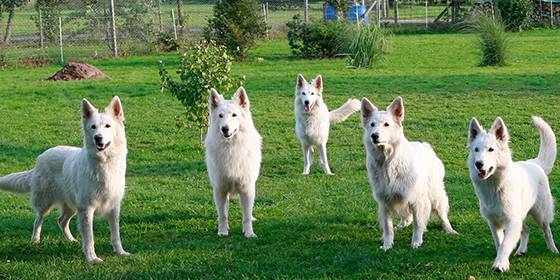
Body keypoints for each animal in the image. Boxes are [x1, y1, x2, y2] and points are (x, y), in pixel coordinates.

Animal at [0, 96, 129, 262]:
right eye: (93, 127)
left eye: (108, 126)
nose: (98, 138)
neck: (104, 163)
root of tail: (40, 158)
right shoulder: (86, 209)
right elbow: (89, 237)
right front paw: (91, 258)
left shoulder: (113, 208)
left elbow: (115, 235)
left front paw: (120, 252)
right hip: (46, 203)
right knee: (38, 220)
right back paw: (35, 240)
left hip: (71, 206)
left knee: (61, 221)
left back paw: (72, 240)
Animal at [205, 86, 262, 237]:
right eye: (220, 115)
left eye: (234, 115)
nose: (225, 129)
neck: (231, 147)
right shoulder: (220, 188)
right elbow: (223, 215)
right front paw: (223, 232)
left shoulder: (247, 188)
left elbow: (246, 215)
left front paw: (249, 233)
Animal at [360, 97, 458, 252]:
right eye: (372, 124)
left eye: (387, 124)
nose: (374, 136)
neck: (388, 161)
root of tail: (425, 145)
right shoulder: (385, 201)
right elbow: (388, 227)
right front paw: (387, 245)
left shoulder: (417, 200)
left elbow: (418, 224)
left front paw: (416, 242)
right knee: (406, 216)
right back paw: (402, 224)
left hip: (435, 194)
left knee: (442, 214)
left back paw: (449, 229)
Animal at [468, 115, 556, 272]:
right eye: (476, 149)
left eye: (491, 149)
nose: (478, 164)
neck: (495, 187)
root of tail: (534, 163)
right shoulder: (494, 223)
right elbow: (500, 243)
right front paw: (502, 259)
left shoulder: (511, 221)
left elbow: (505, 244)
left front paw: (500, 264)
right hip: (521, 216)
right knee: (526, 230)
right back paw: (521, 250)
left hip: (540, 215)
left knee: (547, 230)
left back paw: (552, 248)